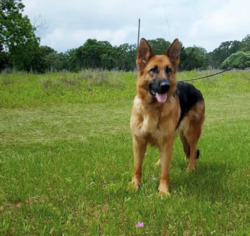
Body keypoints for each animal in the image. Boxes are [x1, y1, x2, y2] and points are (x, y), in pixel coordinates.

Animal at [130, 38, 204, 195]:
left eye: (168, 70)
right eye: (153, 70)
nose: (165, 86)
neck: (151, 109)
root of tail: (195, 88)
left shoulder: (166, 142)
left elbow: (165, 171)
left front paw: (163, 192)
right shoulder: (138, 141)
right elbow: (137, 167)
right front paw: (134, 185)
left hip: (191, 133)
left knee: (193, 151)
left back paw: (190, 168)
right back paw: (157, 164)